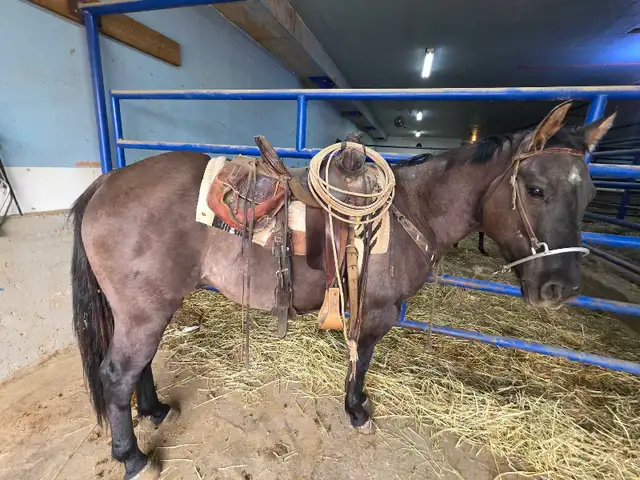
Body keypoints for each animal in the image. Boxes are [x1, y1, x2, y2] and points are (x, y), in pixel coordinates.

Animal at [69, 101, 614, 479]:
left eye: (590, 193)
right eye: (536, 190)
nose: (560, 288)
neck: (413, 208)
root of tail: (106, 183)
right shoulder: (374, 310)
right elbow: (362, 359)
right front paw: (357, 411)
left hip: (146, 310)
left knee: (140, 366)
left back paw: (155, 411)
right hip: (144, 311)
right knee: (117, 374)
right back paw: (133, 457)